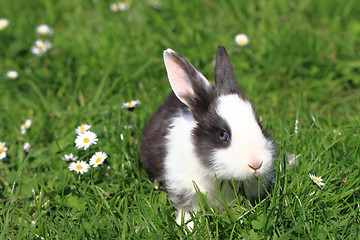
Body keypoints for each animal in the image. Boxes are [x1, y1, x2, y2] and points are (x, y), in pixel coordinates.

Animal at [139, 45, 278, 229]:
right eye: (223, 135)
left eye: (259, 125)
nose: (256, 164)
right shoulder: (184, 190)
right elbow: (188, 211)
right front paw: (188, 229)